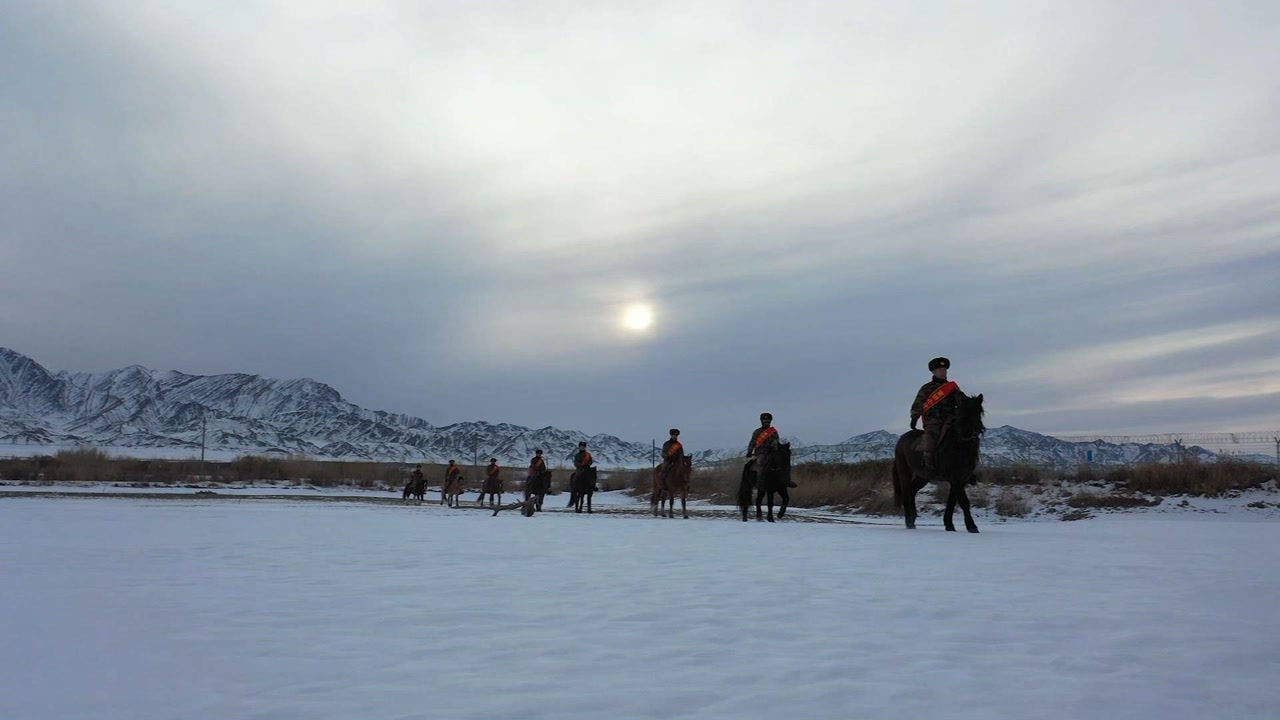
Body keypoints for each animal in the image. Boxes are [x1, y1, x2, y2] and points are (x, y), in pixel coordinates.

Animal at [896, 389, 983, 530]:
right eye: (962, 411)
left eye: (978, 411)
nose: (970, 433)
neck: (960, 445)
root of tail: (901, 439)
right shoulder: (955, 478)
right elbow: (963, 501)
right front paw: (971, 526)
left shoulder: (961, 479)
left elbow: (952, 501)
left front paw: (949, 525)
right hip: (904, 472)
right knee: (906, 493)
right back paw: (908, 522)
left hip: (923, 476)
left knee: (912, 490)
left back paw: (913, 520)